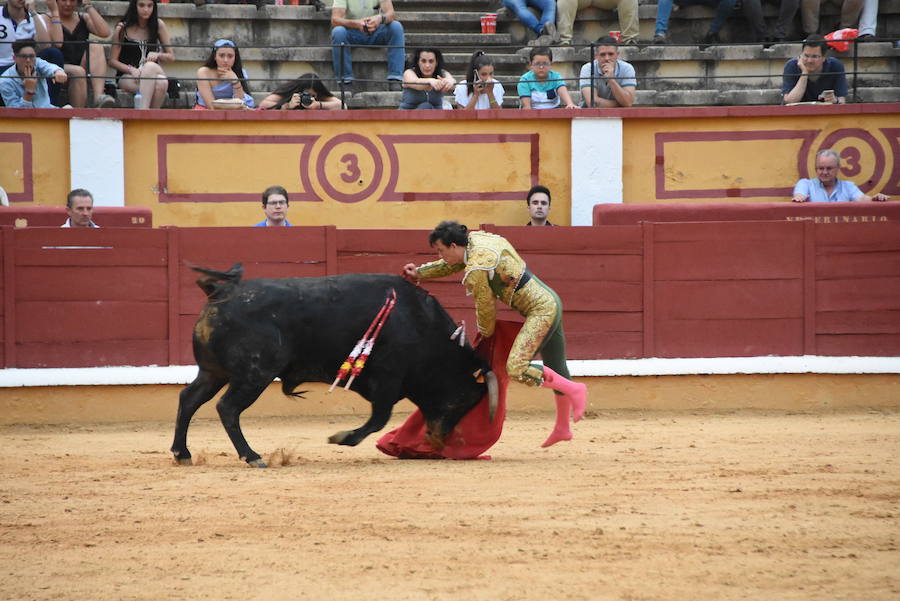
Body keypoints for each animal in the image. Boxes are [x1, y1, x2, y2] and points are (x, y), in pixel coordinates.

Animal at [171, 264, 500, 468]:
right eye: (463, 400)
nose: (439, 440)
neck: (421, 324)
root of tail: (219, 293)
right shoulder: (388, 378)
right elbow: (379, 418)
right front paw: (342, 438)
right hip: (254, 375)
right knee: (227, 408)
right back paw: (252, 456)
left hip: (213, 372)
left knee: (189, 399)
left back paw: (182, 453)